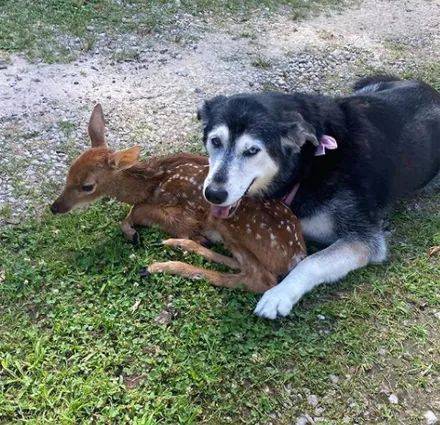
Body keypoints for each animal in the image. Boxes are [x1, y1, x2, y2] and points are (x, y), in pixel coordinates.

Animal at [199, 74, 440, 316]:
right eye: (215, 141)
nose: (214, 194)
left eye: (252, 151)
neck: (306, 165)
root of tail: (430, 91)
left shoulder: (364, 238)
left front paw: (279, 294)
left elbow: (311, 262)